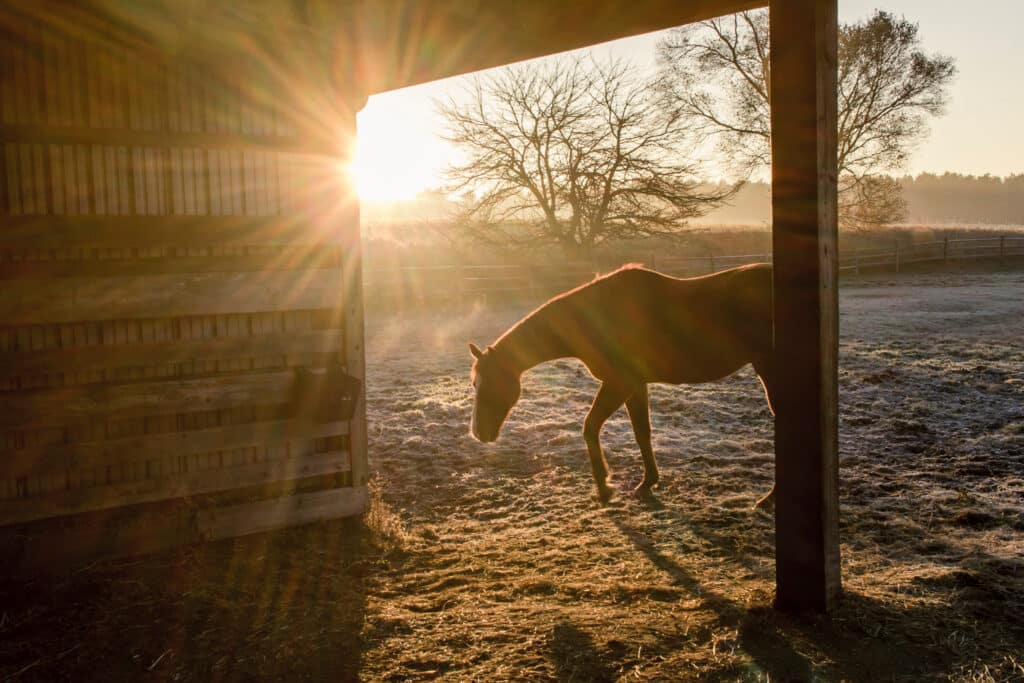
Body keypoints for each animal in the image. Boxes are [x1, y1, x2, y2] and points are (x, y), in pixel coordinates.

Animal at [468, 262, 777, 506]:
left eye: (490, 383)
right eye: (474, 384)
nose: (479, 433)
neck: (599, 316)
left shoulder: (618, 384)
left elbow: (590, 427)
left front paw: (605, 488)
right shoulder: (636, 386)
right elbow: (642, 433)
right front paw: (647, 482)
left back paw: (768, 499)